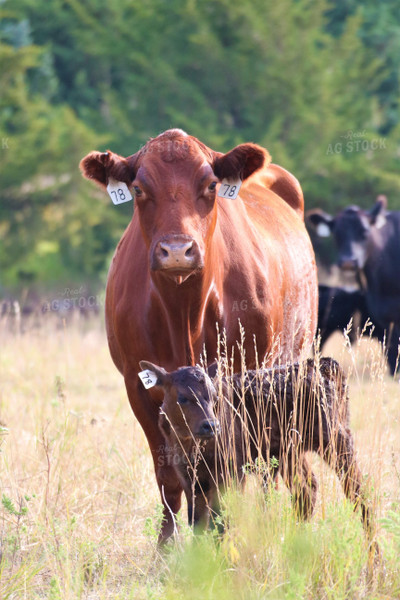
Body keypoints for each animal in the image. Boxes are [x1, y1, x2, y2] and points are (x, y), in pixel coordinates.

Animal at [80, 129, 318, 540]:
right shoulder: (138, 387)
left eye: (210, 185)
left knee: (271, 470)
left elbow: (231, 468)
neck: (184, 314)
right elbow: (169, 477)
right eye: (139, 188)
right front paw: (166, 544)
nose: (177, 250)